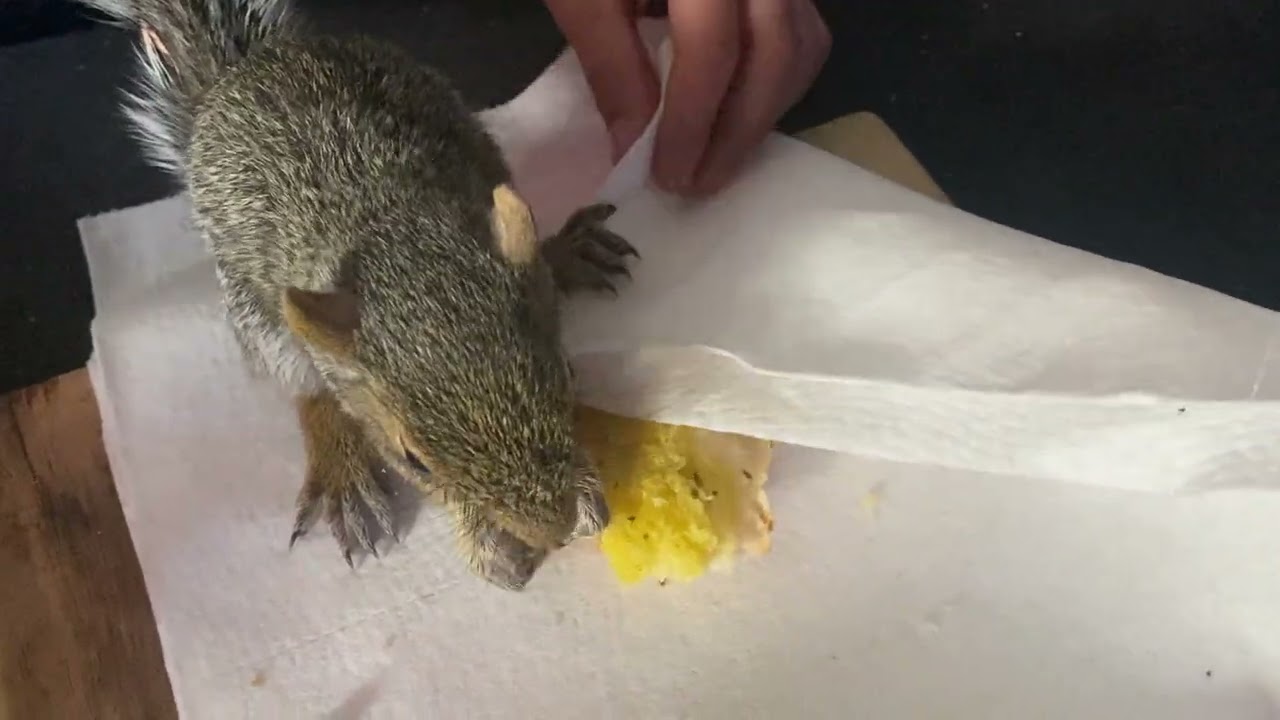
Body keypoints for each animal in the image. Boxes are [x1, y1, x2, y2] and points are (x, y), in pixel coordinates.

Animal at [78, 0, 638, 590]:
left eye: (568, 375)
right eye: (413, 461)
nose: (552, 533)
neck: (391, 218)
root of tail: (237, 75)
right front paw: (485, 541)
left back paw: (565, 252)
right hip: (261, 322)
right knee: (309, 391)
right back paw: (343, 475)